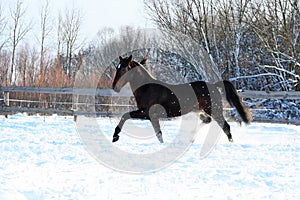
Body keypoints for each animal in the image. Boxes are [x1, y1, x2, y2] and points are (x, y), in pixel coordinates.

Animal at [111, 54, 252, 144]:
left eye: (123, 68)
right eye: (116, 68)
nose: (114, 87)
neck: (147, 89)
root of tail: (214, 85)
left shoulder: (146, 113)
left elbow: (125, 116)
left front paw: (115, 136)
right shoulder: (152, 117)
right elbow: (159, 134)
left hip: (214, 110)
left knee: (225, 126)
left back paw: (231, 143)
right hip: (201, 110)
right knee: (207, 121)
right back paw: (191, 137)